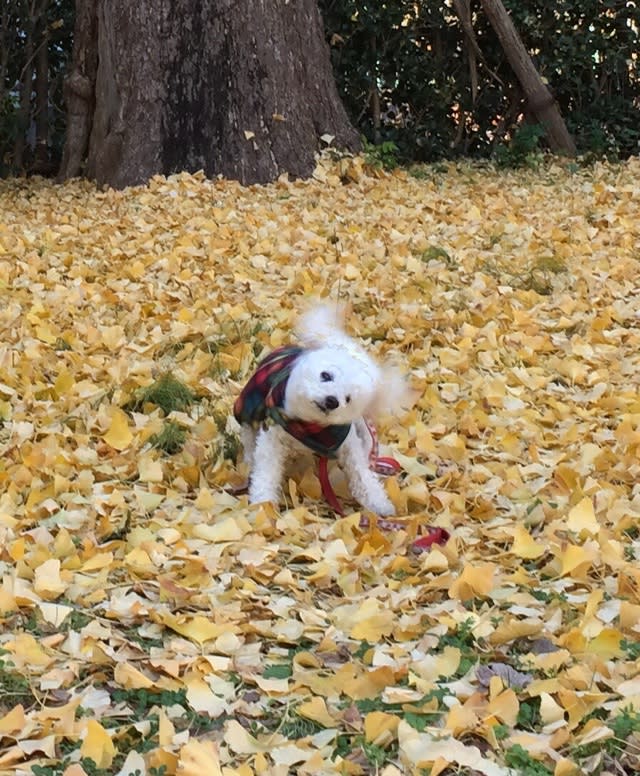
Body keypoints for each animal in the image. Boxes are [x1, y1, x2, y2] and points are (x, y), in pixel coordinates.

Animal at [232, 304, 408, 516]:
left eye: (348, 398)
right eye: (326, 375)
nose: (332, 401)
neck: (310, 427)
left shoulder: (348, 445)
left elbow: (361, 474)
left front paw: (379, 503)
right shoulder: (273, 436)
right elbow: (267, 470)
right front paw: (263, 504)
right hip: (248, 409)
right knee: (249, 437)